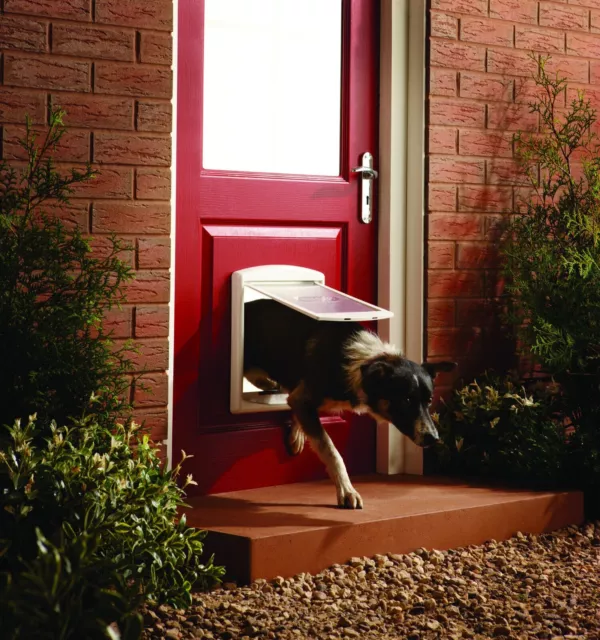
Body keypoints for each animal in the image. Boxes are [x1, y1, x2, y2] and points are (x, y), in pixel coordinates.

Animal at [244, 298, 454, 510]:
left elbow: (298, 407)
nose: (433, 438)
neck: (366, 361)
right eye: (407, 400)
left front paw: (297, 433)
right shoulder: (305, 397)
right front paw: (347, 491)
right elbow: (331, 450)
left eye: (429, 400)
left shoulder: (301, 397)